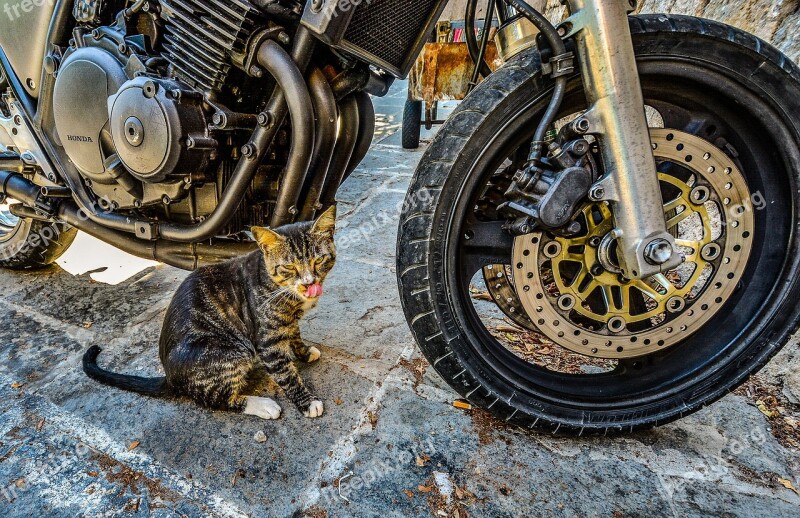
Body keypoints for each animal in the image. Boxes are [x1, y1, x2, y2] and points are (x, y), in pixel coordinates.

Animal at [83, 205, 338, 420]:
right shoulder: (267, 341)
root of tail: (170, 378)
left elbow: (294, 333)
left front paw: (304, 351)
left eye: (319, 260)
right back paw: (263, 405)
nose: (309, 283)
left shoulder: (287, 322)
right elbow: (285, 372)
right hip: (232, 351)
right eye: (289, 267)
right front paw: (307, 401)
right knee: (216, 400)